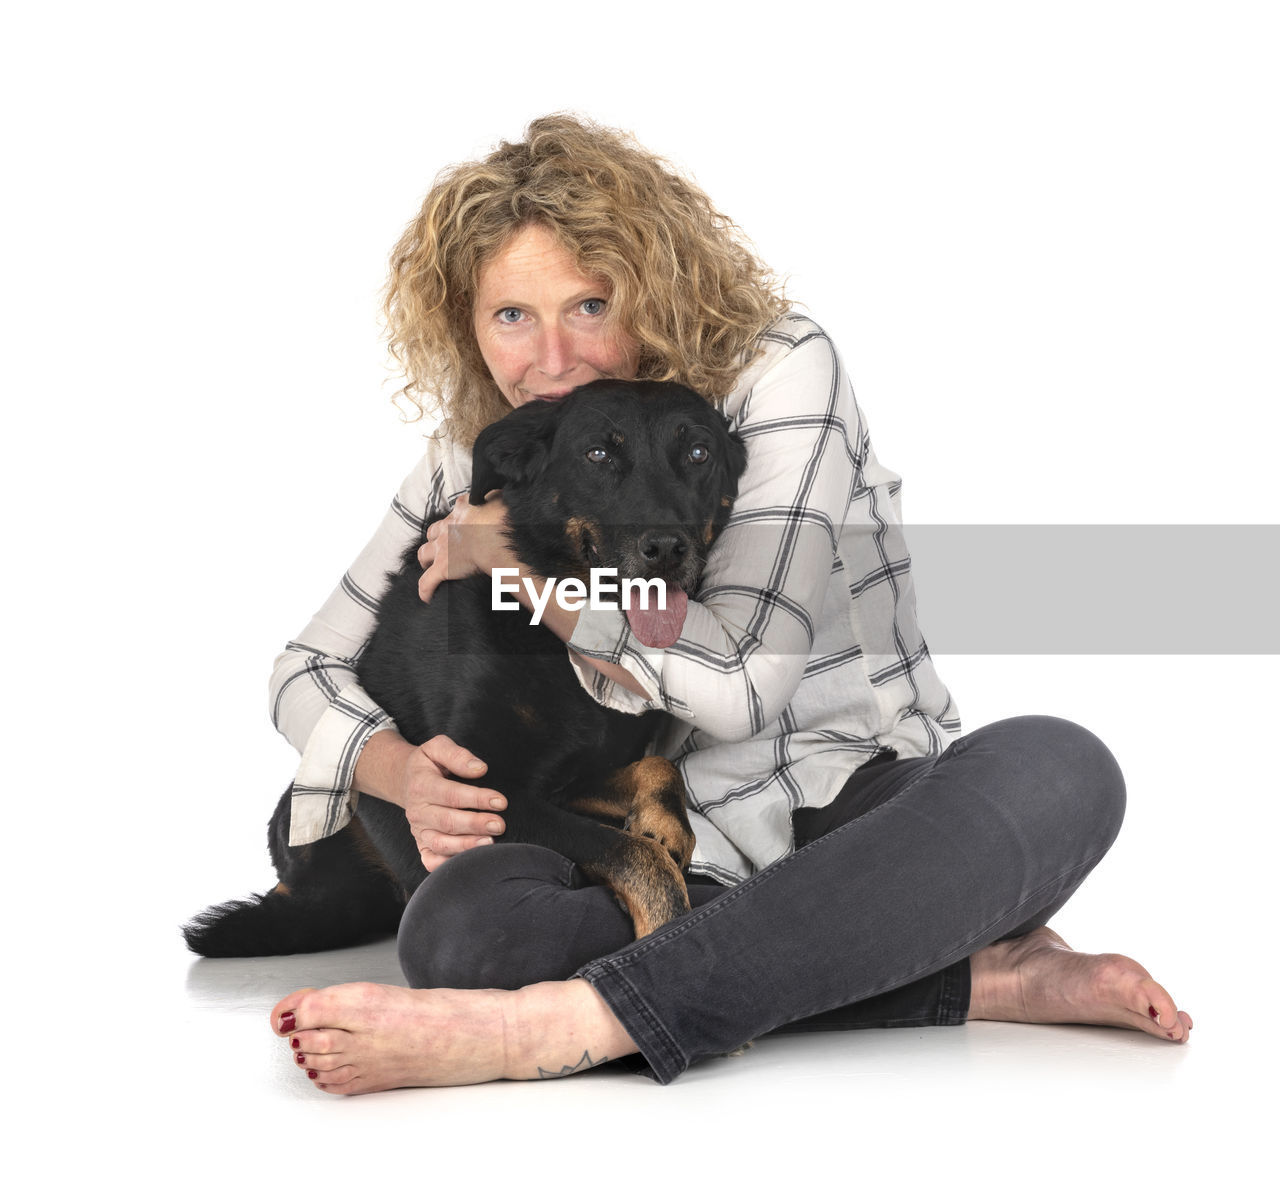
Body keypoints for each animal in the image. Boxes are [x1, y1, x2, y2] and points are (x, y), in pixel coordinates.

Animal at [179, 381, 742, 962]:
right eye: (598, 454)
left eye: (699, 453)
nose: (667, 549)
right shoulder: (474, 794)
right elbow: (632, 853)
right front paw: (665, 928)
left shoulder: (562, 781)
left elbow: (657, 769)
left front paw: (667, 826)